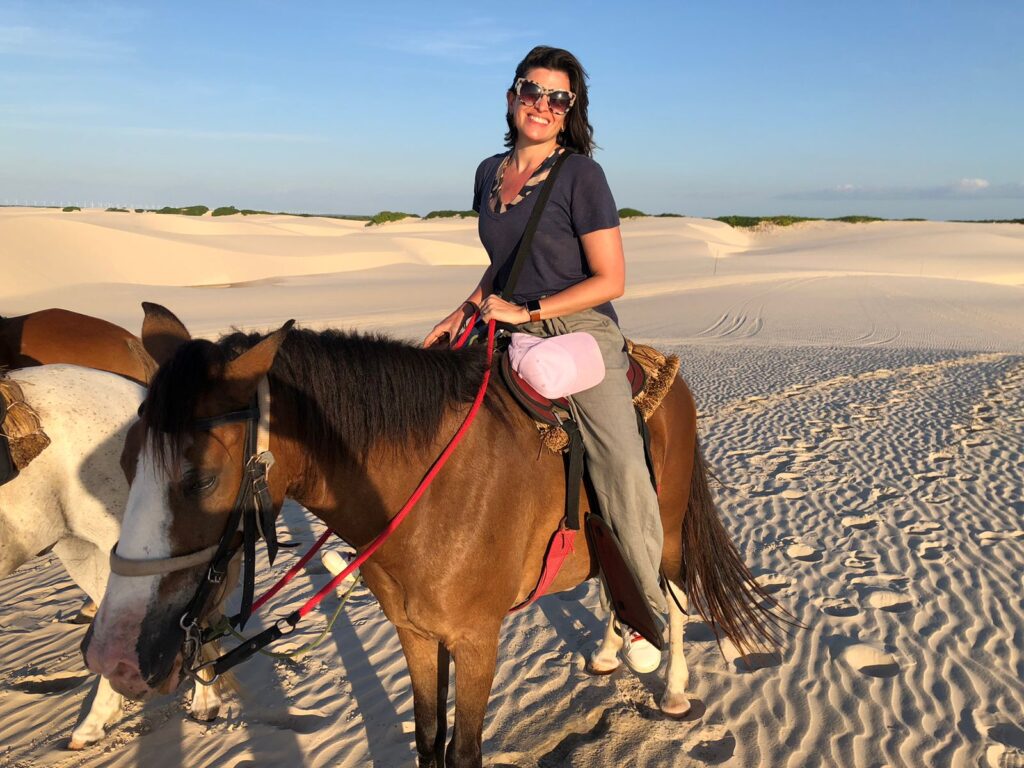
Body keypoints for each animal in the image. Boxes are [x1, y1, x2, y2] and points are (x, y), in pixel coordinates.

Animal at [83, 307, 778, 768]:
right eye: (125, 462)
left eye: (201, 478)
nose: (112, 656)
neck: (425, 494)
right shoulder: (415, 633)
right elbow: (427, 740)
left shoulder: (476, 641)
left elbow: (463, 751)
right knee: (615, 580)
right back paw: (611, 651)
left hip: (666, 529)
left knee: (674, 600)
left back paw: (675, 688)